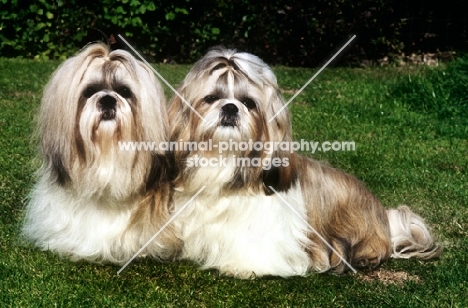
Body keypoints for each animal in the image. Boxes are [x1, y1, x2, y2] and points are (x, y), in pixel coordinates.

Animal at [169, 46, 442, 280]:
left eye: (248, 103)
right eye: (211, 98)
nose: (230, 107)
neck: (225, 160)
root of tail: (384, 220)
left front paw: (242, 266)